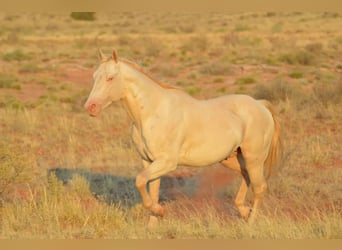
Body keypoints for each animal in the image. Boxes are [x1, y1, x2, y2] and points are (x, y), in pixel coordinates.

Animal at [84, 49, 282, 226]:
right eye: (94, 77)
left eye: (110, 78)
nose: (90, 107)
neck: (152, 113)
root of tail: (260, 104)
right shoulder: (149, 162)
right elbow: (151, 190)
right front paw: (152, 225)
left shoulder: (167, 162)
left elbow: (140, 181)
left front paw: (160, 211)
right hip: (234, 158)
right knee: (247, 176)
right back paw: (244, 211)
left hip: (254, 158)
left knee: (259, 187)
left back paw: (251, 222)